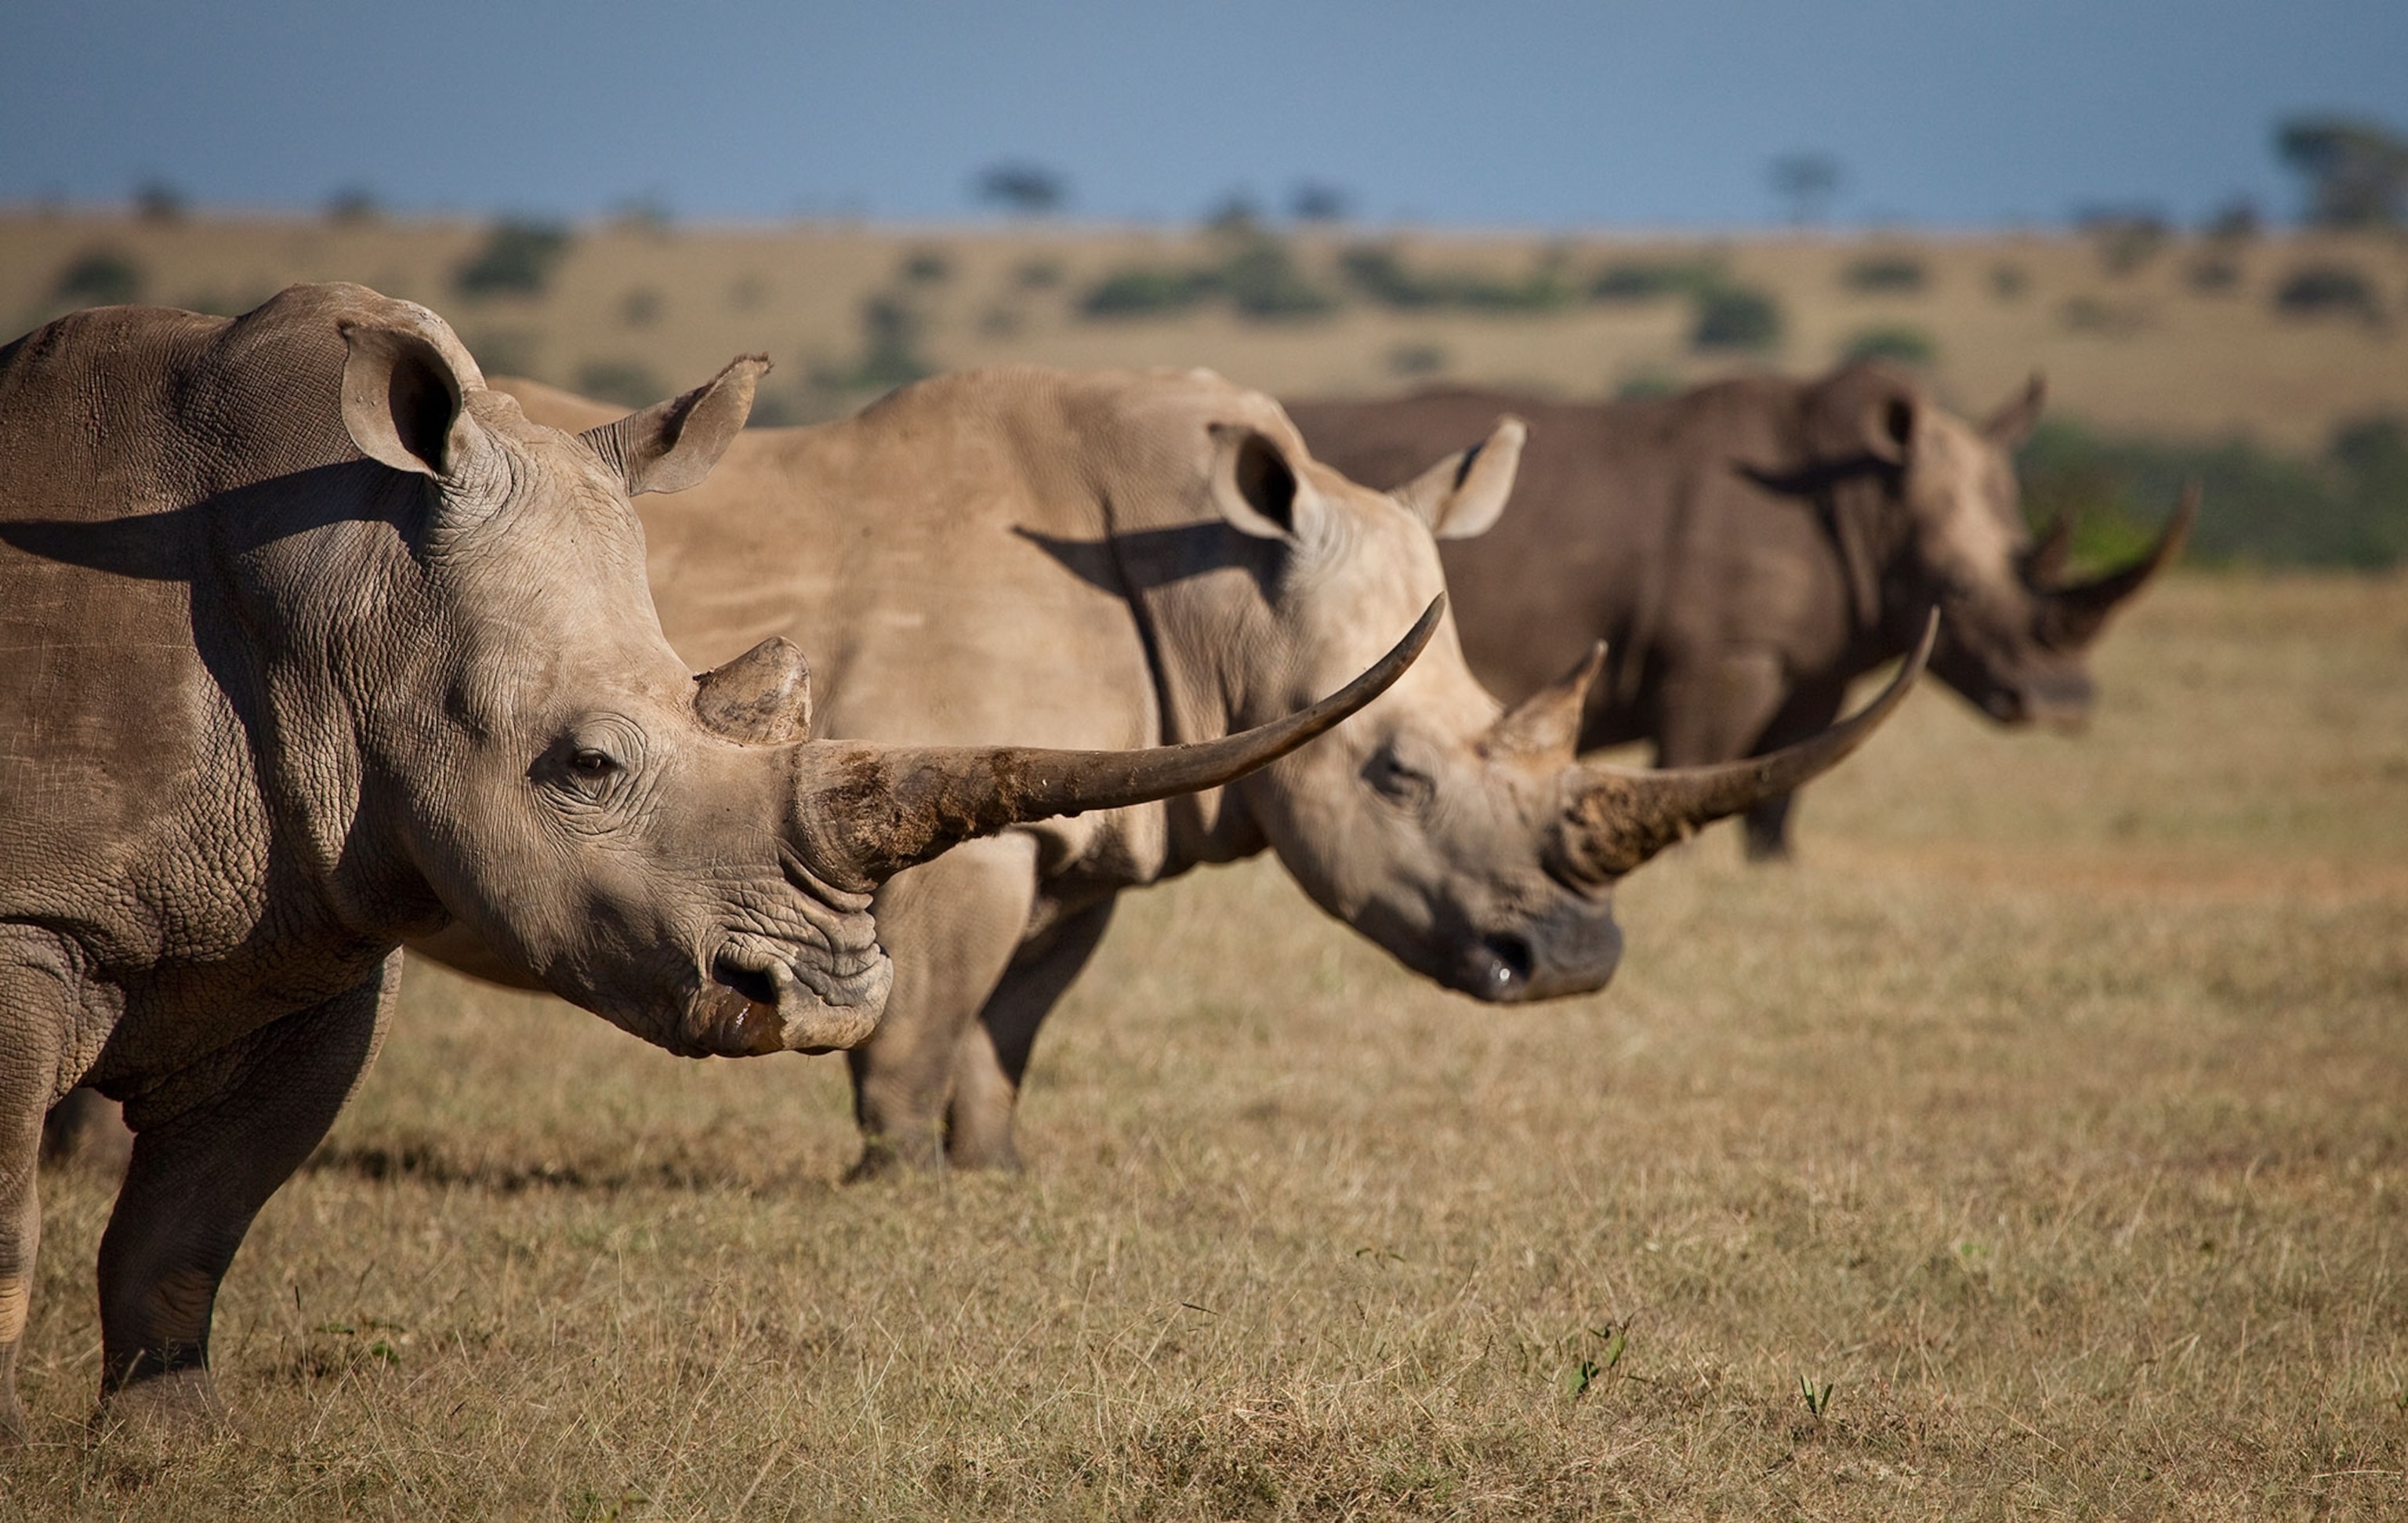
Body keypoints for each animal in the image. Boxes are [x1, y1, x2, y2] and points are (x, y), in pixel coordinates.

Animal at [0, 289, 1422, 1440]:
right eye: (584, 766)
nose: (834, 996)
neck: (345, 598)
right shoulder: (32, 922)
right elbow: (21, 1226)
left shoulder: (325, 935)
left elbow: (189, 1227)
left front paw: (168, 1450)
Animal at [441, 364, 1926, 1177]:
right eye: (1395, 776)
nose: (1570, 963)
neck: (1223, 594)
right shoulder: (960, 834)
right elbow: (920, 1029)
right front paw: (898, 1178)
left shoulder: (1086, 824)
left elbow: (1007, 1027)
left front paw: (996, 1173)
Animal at [1289, 362, 2193, 857]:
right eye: (1961, 595)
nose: (2061, 705)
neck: (1870, 499)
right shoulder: (1726, 656)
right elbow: (1698, 760)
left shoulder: (1814, 662)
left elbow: (1780, 789)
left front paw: (1777, 865)